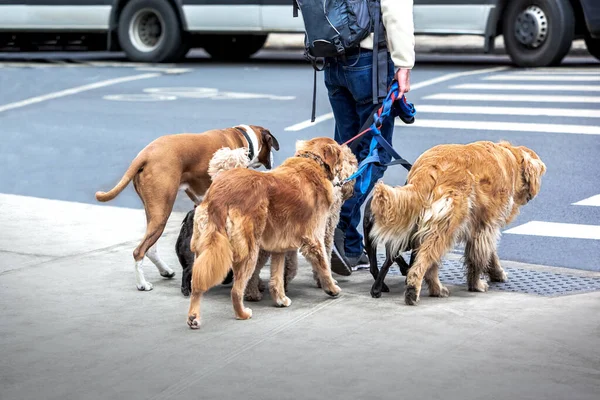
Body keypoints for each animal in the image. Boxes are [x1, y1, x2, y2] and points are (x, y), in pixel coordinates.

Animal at [95, 124, 280, 290]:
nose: (272, 159)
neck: (243, 137)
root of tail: (145, 154)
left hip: (154, 214)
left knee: (150, 249)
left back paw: (165, 270)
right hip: (161, 213)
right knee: (139, 251)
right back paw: (142, 284)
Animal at [186, 138, 356, 328]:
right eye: (345, 157)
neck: (313, 161)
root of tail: (220, 196)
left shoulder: (279, 246)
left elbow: (277, 275)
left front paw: (280, 298)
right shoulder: (314, 239)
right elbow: (324, 266)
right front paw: (332, 289)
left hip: (206, 249)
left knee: (197, 282)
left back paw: (194, 316)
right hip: (249, 250)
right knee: (236, 290)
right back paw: (242, 312)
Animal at [368, 141, 548, 306]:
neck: (510, 158)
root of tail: (427, 168)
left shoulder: (481, 227)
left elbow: (490, 253)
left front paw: (496, 273)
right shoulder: (487, 226)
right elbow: (479, 258)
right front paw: (477, 284)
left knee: (427, 260)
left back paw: (435, 289)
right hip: (448, 225)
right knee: (425, 260)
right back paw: (415, 290)